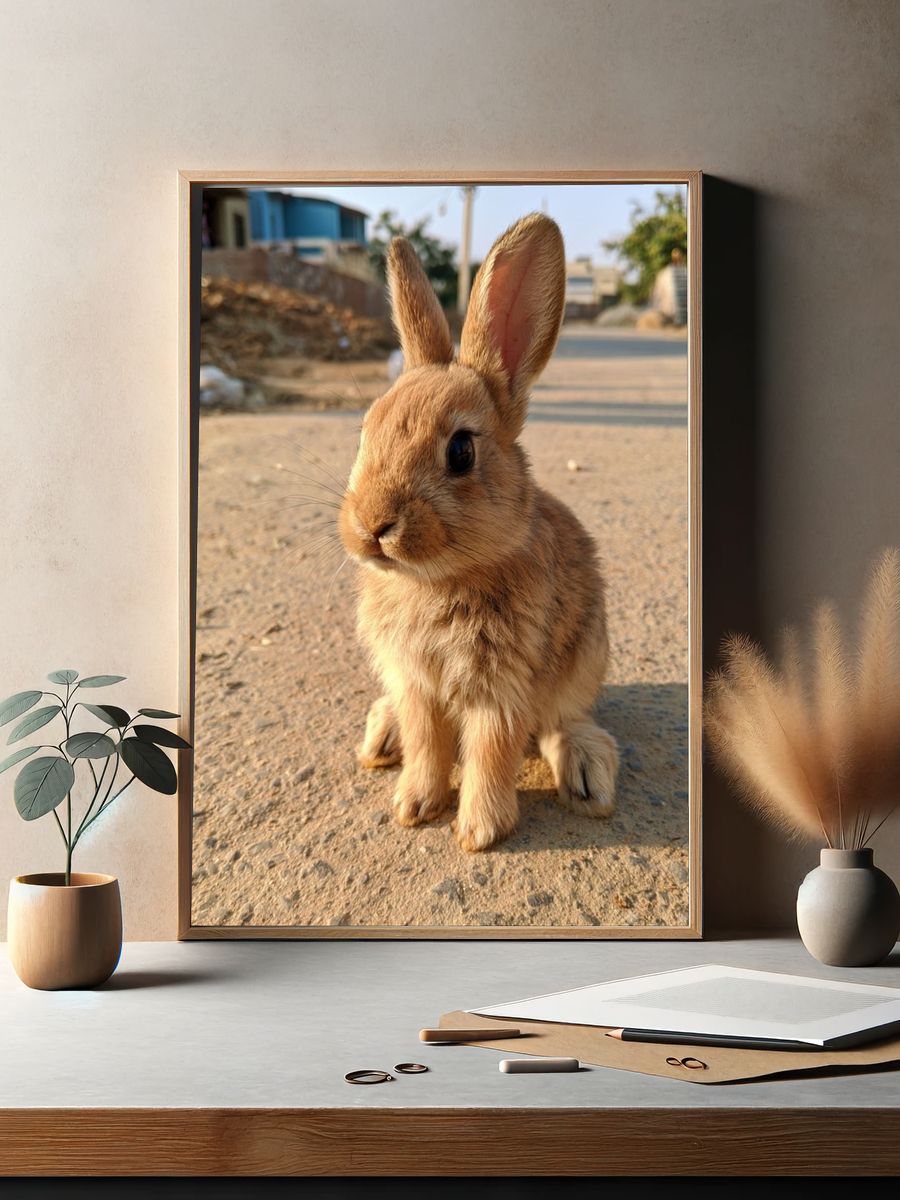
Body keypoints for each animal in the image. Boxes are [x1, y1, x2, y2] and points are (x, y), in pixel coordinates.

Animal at [338, 212, 619, 851]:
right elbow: (427, 742)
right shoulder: (416, 682)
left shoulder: (502, 686)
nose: (372, 525)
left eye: (461, 451)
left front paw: (479, 832)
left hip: (585, 660)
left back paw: (586, 771)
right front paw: (415, 805)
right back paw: (383, 737)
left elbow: (492, 750)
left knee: (565, 722)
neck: (435, 580)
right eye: (365, 431)